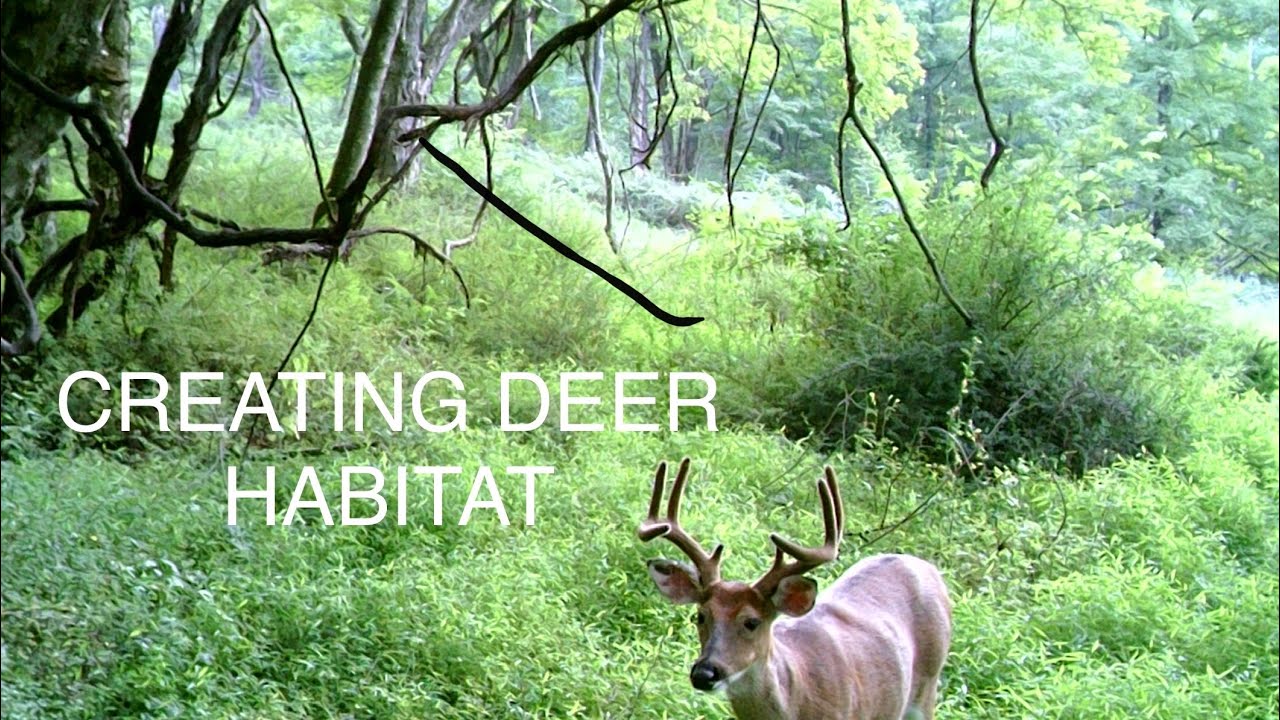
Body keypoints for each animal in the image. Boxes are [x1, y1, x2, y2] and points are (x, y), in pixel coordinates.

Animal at [638, 458, 952, 720]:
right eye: (700, 616)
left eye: (752, 622)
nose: (704, 673)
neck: (799, 697)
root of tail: (927, 567)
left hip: (928, 687)